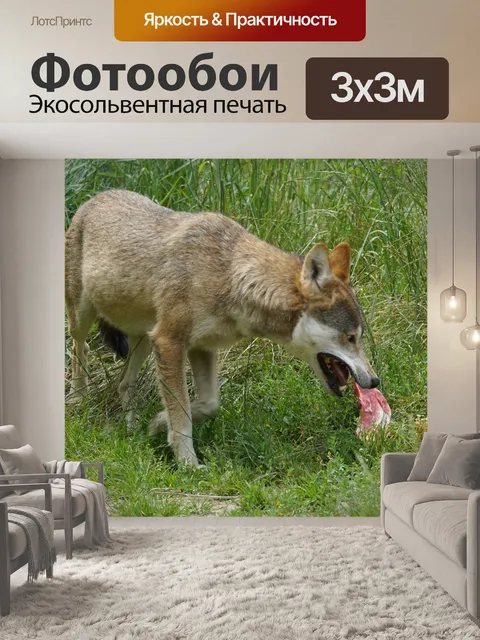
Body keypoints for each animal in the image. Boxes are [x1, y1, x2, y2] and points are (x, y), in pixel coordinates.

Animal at [65, 189, 379, 468]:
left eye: (359, 337)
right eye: (350, 338)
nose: (375, 381)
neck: (230, 278)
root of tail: (94, 198)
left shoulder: (201, 348)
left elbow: (206, 405)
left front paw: (157, 423)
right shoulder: (170, 341)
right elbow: (182, 411)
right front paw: (188, 464)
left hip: (143, 339)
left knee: (123, 383)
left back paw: (132, 429)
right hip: (84, 319)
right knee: (78, 352)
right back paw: (79, 401)